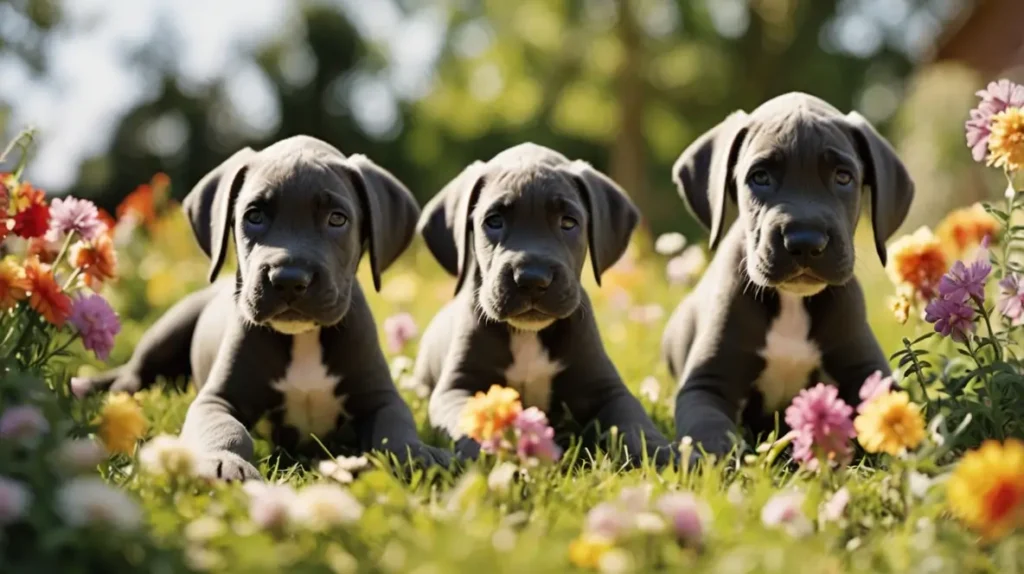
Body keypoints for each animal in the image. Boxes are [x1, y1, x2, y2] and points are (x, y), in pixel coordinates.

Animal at [74, 135, 450, 478]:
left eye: (337, 219)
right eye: (253, 216)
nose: (289, 279)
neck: (302, 338)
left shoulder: (381, 396)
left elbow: (395, 426)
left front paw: (418, 453)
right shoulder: (216, 399)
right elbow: (227, 429)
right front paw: (223, 462)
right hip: (168, 331)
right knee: (130, 377)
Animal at [411, 142, 675, 466]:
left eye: (568, 223)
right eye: (493, 221)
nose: (532, 278)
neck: (528, 334)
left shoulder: (607, 389)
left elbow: (634, 422)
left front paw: (662, 452)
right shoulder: (456, 388)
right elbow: (470, 422)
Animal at [663, 93, 913, 456]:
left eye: (843, 177)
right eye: (760, 177)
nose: (805, 242)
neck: (792, 302)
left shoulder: (868, 373)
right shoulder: (705, 386)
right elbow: (711, 433)